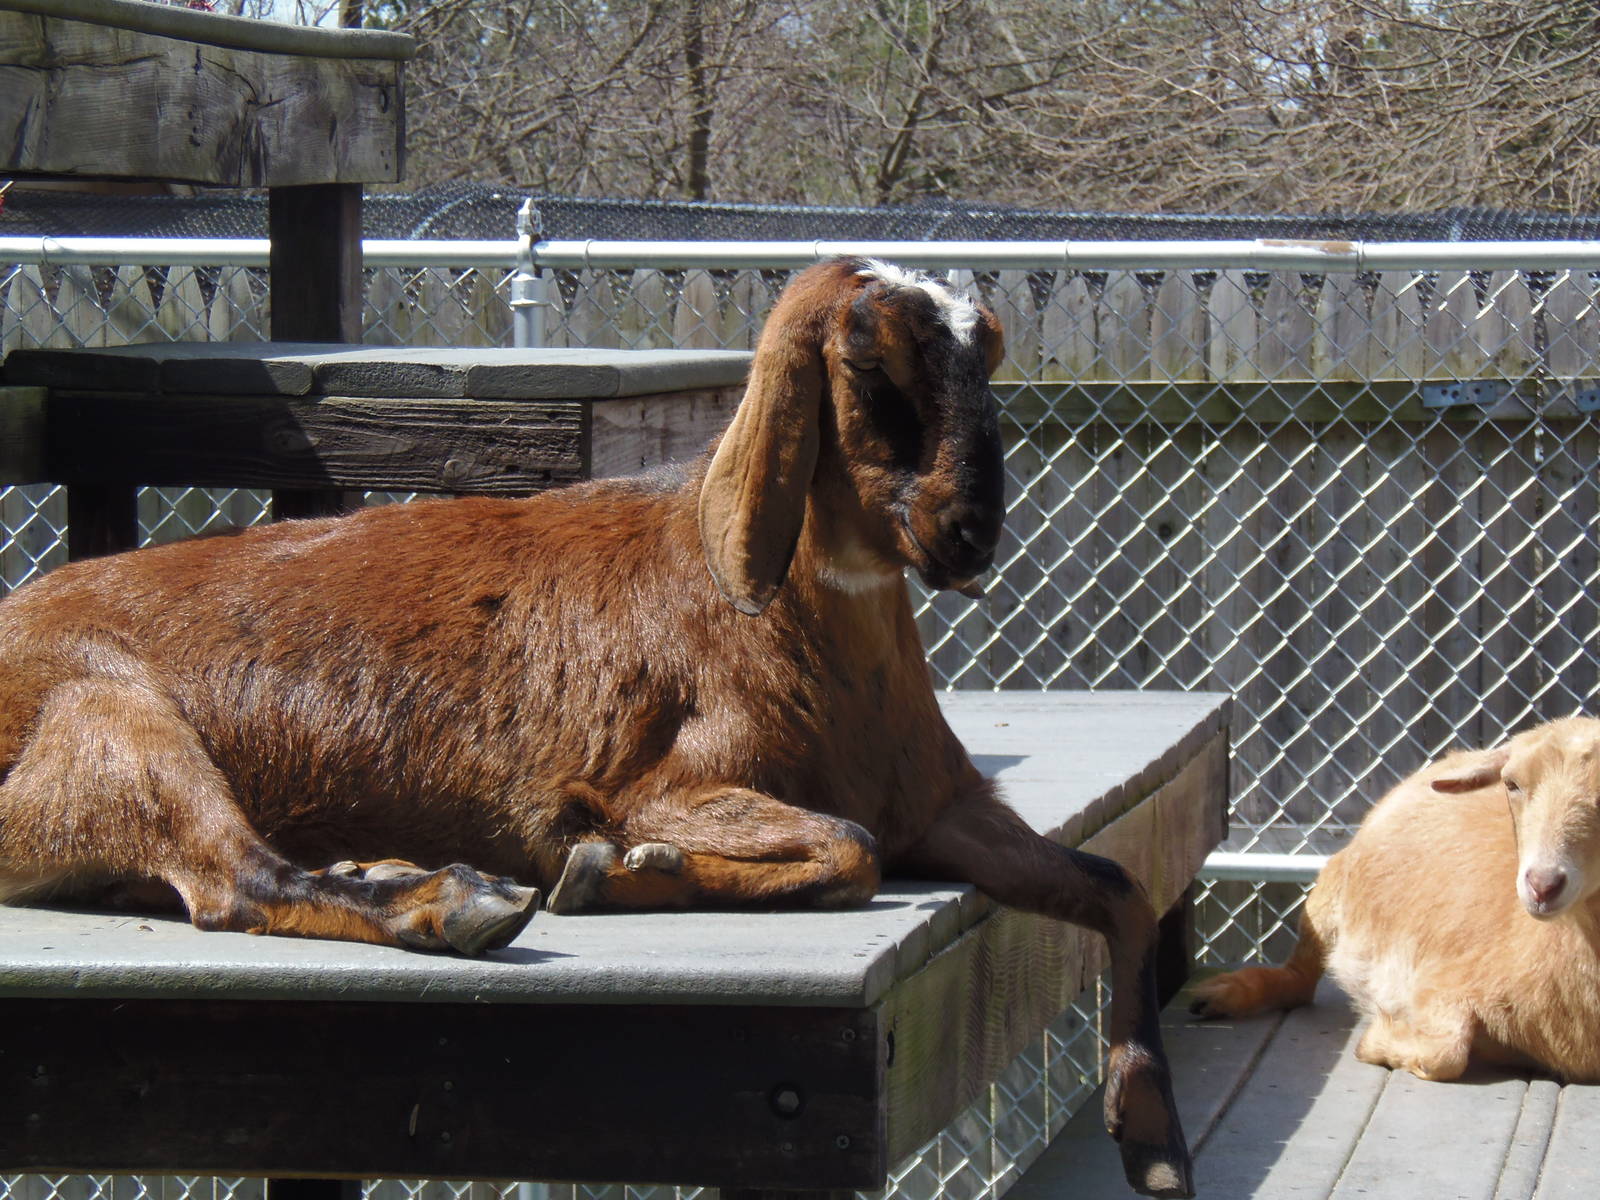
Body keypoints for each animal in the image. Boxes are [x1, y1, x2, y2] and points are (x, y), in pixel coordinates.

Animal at [0, 258, 1190, 1197]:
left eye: (985, 350)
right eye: (865, 362)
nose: (971, 532)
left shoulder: (945, 808)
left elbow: (1116, 885)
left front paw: (1154, 1144)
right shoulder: (655, 783)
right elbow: (844, 851)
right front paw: (615, 871)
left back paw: (391, 869)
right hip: (112, 718)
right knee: (232, 883)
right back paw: (454, 903)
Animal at [1191, 717, 1600, 1084]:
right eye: (1511, 784)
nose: (1543, 884)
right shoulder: (1438, 985)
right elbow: (1445, 1055)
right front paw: (1378, 1039)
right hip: (1329, 892)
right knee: (1300, 977)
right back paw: (1223, 995)